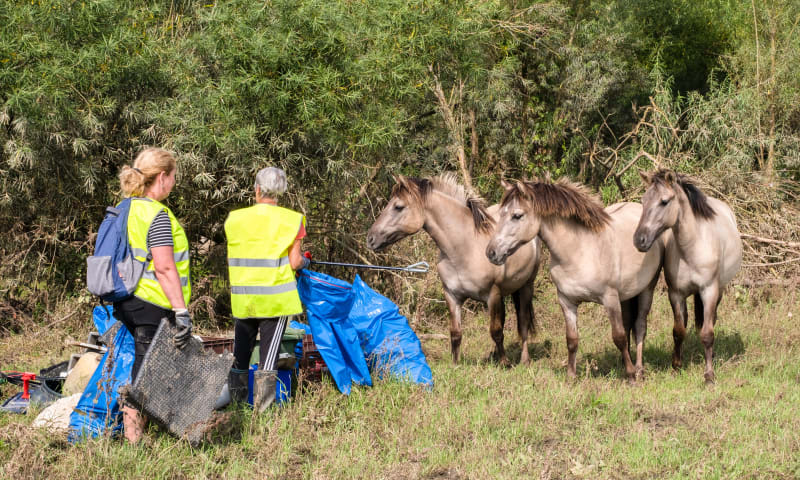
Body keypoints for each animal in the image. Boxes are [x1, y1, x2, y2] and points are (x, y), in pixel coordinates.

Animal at [366, 174, 540, 366]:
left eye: (398, 207)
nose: (370, 239)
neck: (465, 248)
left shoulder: (492, 294)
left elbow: (496, 331)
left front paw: (504, 363)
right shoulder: (452, 295)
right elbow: (456, 333)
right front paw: (455, 364)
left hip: (526, 286)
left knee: (523, 323)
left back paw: (524, 360)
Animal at [484, 178, 664, 380]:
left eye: (517, 215)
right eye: (500, 214)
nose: (491, 253)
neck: (579, 251)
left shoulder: (610, 299)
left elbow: (618, 336)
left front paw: (631, 375)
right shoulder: (567, 301)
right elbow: (572, 339)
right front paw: (571, 375)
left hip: (647, 288)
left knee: (640, 326)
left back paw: (639, 368)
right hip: (627, 294)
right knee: (629, 324)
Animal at [636, 169, 740, 382]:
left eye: (664, 201)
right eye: (643, 200)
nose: (639, 240)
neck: (692, 247)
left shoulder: (709, 291)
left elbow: (707, 334)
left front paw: (709, 375)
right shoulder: (676, 293)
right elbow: (678, 330)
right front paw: (676, 366)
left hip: (719, 290)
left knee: (711, 321)